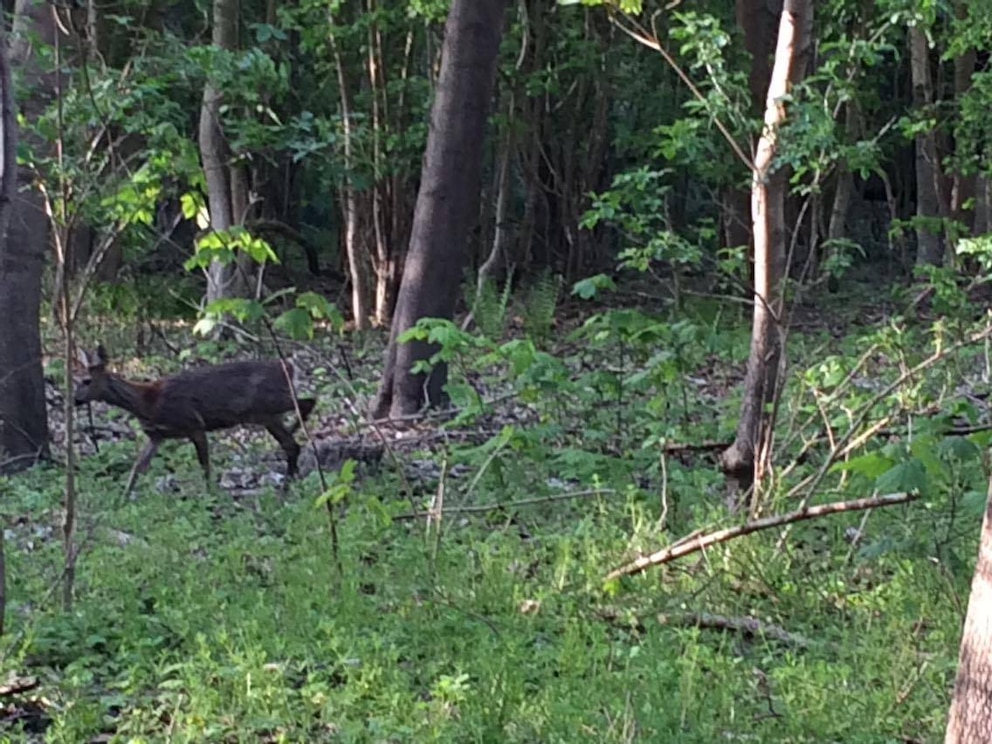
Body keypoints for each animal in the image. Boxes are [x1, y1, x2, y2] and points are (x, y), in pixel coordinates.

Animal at [75, 346, 316, 496]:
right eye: (76, 379)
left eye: (87, 381)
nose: (75, 399)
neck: (147, 403)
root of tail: (289, 367)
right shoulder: (157, 435)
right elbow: (138, 467)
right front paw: (121, 501)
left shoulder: (194, 424)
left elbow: (205, 466)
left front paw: (211, 498)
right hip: (265, 413)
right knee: (292, 443)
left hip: (267, 405)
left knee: (307, 404)